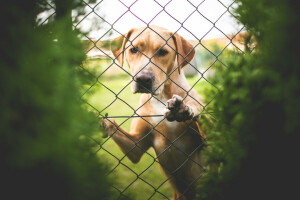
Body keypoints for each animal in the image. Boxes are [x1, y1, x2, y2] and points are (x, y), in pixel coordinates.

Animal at [102, 25, 205, 199]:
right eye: (133, 50)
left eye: (163, 52)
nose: (143, 79)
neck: (161, 96)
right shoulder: (135, 146)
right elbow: (115, 127)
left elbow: (199, 109)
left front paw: (186, 108)